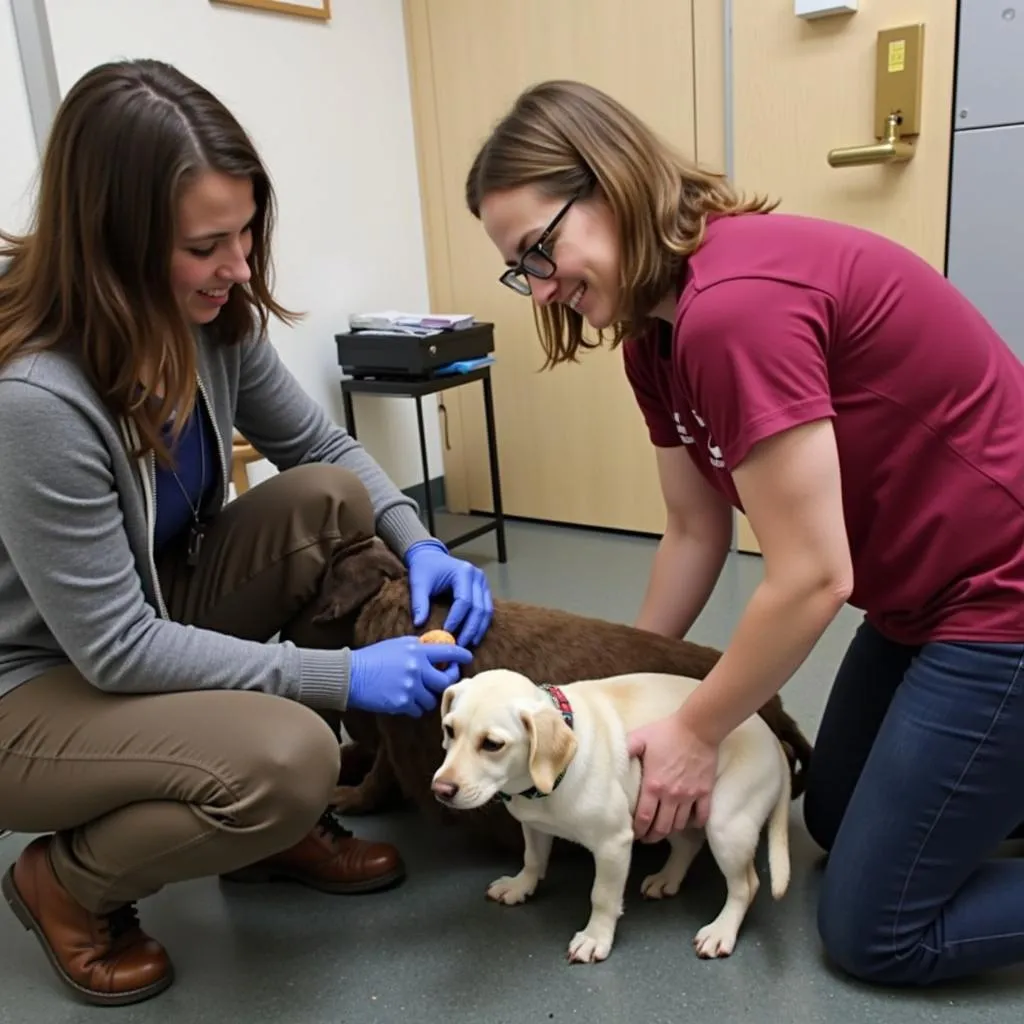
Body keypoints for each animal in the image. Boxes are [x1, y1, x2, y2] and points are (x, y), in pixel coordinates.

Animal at [292, 540, 811, 851]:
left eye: (329, 572)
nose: (338, 542)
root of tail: (778, 714)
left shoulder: (395, 743)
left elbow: (376, 776)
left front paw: (347, 795)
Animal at [428, 667, 786, 962]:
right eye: (449, 729)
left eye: (492, 744)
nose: (440, 790)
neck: (546, 781)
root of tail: (774, 740)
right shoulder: (534, 825)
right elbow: (533, 859)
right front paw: (521, 886)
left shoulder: (614, 843)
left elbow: (601, 895)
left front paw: (595, 937)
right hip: (667, 805)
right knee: (688, 843)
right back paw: (668, 878)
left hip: (725, 825)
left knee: (746, 885)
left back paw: (722, 930)